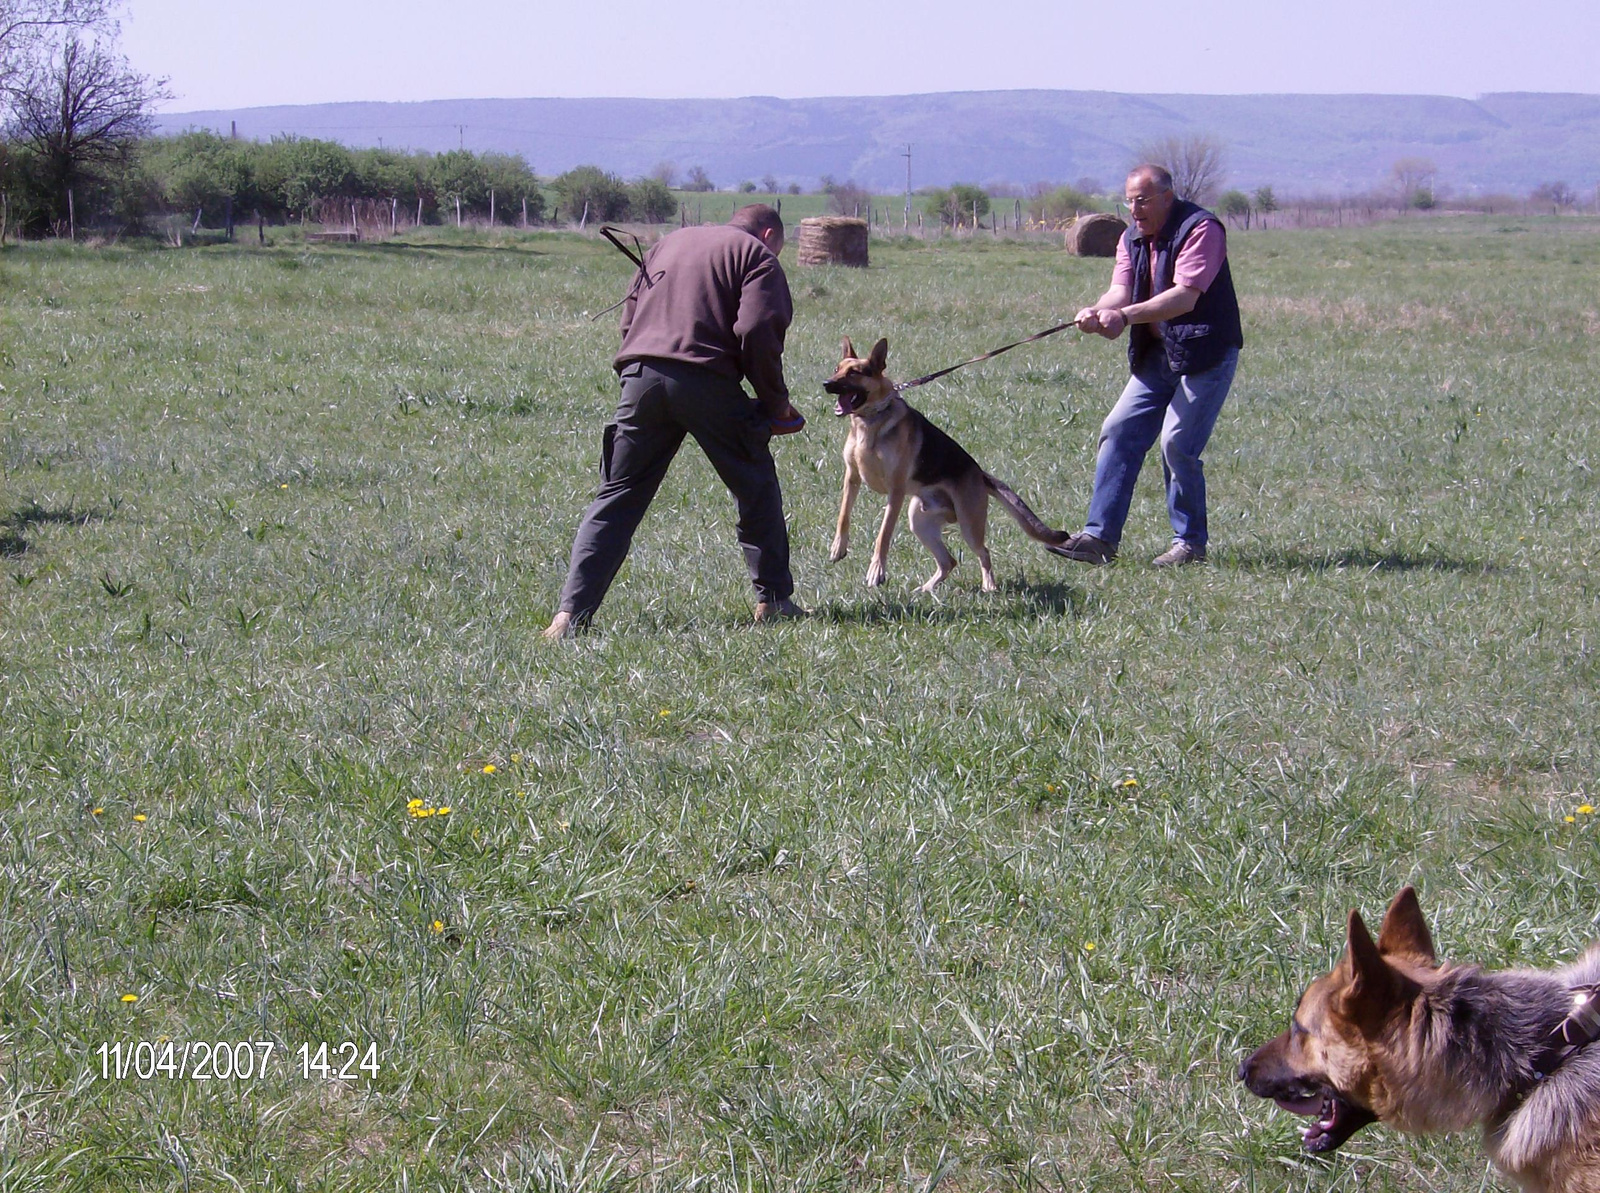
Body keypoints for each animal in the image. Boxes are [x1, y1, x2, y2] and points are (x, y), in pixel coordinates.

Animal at [819, 337, 1068, 588]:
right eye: (837, 369)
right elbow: (843, 516)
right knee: (948, 561)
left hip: (969, 525)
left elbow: (883, 534)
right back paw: (927, 589)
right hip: (919, 521)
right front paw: (838, 548)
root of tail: (980, 473)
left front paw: (876, 571)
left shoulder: (895, 491)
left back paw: (988, 585)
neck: (870, 420)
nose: (826, 383)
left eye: (855, 373)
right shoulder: (852, 477)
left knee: (983, 552)